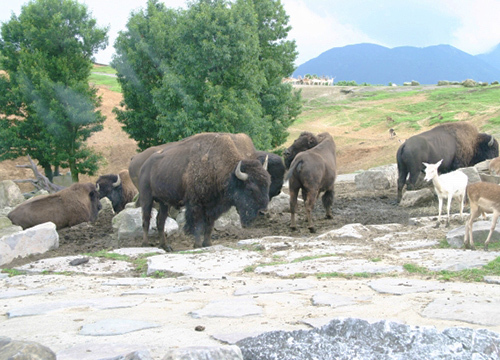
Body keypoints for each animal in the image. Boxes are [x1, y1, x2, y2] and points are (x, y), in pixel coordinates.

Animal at [138, 131, 270, 250]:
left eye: (267, 185)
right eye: (250, 189)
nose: (262, 212)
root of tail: (144, 165)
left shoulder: (212, 207)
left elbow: (209, 225)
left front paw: (208, 244)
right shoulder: (195, 205)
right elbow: (198, 226)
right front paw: (197, 245)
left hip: (164, 202)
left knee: (160, 221)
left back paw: (165, 246)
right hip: (146, 198)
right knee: (146, 220)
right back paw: (145, 244)